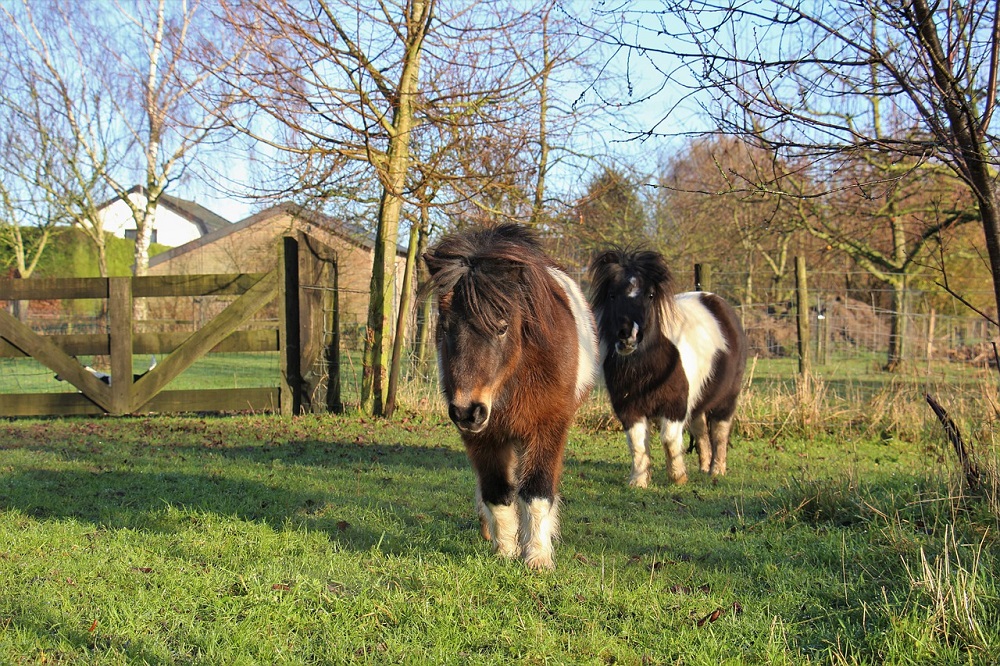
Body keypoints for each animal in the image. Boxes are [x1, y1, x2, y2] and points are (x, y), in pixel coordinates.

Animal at [420, 224, 592, 572]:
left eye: (501, 327)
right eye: (444, 327)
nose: (466, 411)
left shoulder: (548, 427)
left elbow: (537, 491)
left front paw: (537, 557)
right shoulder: (484, 437)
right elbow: (498, 492)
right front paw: (505, 551)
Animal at [588, 246, 748, 486]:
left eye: (650, 295)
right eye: (612, 295)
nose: (628, 336)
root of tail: (715, 300)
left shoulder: (675, 406)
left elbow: (669, 440)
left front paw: (678, 477)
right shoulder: (628, 408)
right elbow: (637, 443)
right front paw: (639, 481)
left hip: (726, 400)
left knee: (720, 433)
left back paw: (716, 471)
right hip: (698, 402)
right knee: (701, 432)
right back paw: (703, 468)